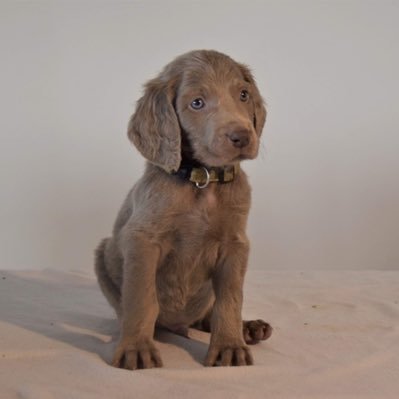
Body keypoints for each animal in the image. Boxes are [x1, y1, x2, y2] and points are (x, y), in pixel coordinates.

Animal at [95, 50, 274, 372]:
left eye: (243, 95)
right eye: (197, 103)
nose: (242, 136)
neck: (203, 180)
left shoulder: (235, 245)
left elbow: (230, 300)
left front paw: (229, 346)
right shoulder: (143, 240)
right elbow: (142, 299)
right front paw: (136, 348)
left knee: (208, 315)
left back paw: (249, 328)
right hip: (102, 253)